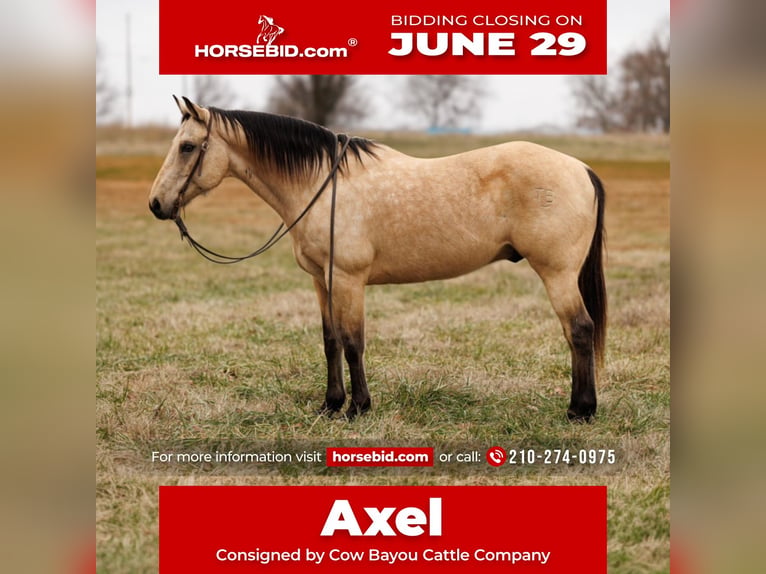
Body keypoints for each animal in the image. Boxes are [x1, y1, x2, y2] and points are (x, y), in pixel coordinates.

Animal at [149, 96, 607, 421]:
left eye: (187, 147)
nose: (156, 204)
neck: (320, 183)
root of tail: (581, 168)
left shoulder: (348, 279)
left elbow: (354, 341)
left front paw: (358, 408)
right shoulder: (321, 280)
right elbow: (331, 340)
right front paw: (330, 405)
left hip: (557, 273)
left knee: (579, 330)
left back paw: (580, 410)